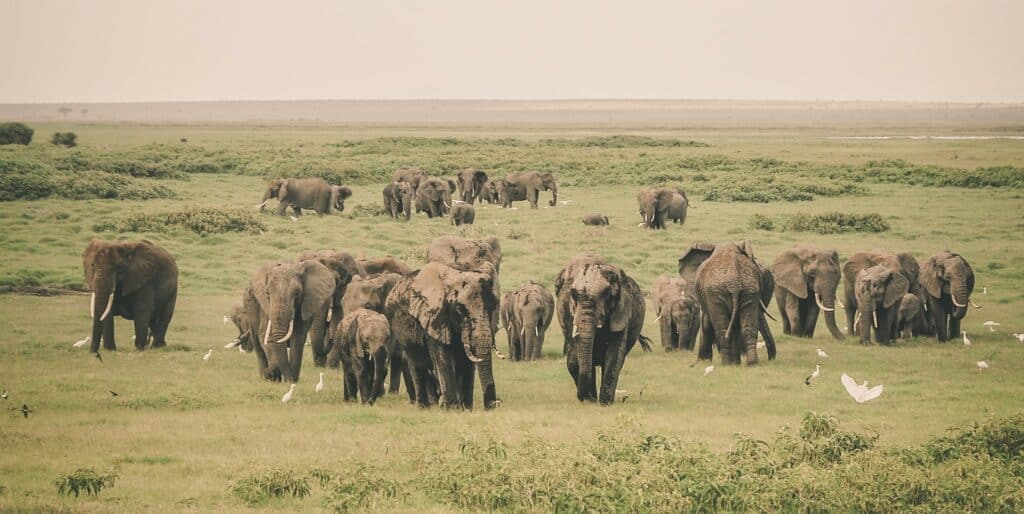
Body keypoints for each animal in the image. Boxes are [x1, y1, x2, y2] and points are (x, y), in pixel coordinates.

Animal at [385, 261, 499, 409]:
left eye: (493, 306)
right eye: (459, 310)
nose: (494, 403)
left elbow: (465, 361)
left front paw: (466, 409)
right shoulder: (434, 318)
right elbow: (443, 356)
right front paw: (452, 408)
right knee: (417, 363)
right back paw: (424, 407)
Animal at [557, 252, 651, 405]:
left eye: (607, 294)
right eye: (573, 294)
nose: (581, 397)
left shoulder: (622, 312)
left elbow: (614, 354)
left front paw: (605, 402)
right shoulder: (570, 316)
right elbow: (577, 356)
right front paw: (590, 400)